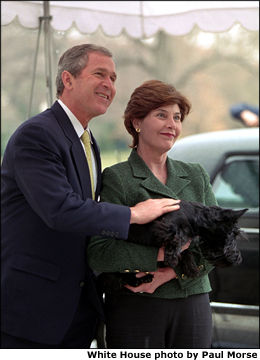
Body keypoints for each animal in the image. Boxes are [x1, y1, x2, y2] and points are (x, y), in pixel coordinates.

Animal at [119, 200, 247, 286]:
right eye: (233, 235)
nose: (238, 259)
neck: (197, 218)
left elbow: (186, 250)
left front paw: (191, 268)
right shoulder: (163, 225)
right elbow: (175, 236)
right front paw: (171, 257)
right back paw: (136, 279)